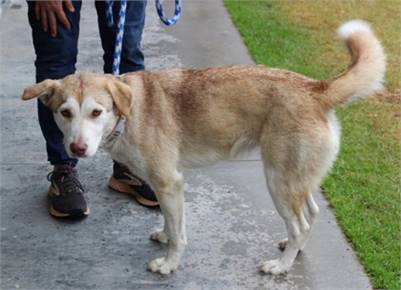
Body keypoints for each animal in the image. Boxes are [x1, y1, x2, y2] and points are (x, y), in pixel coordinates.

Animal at [21, 20, 384, 274]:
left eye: (96, 112)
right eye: (65, 113)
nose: (77, 149)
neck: (128, 114)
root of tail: (315, 88)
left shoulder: (169, 182)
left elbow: (179, 234)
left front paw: (168, 264)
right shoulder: (165, 186)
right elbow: (171, 223)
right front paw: (164, 235)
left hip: (279, 181)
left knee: (302, 223)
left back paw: (281, 267)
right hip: (297, 179)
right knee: (311, 213)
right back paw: (291, 250)